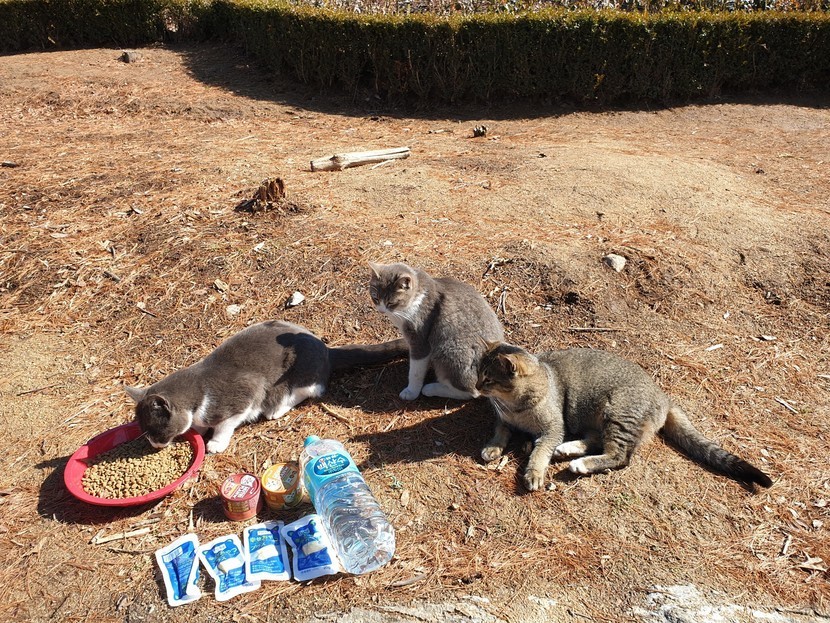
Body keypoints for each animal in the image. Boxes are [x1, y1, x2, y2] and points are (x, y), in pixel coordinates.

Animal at [124, 320, 407, 454]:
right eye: (145, 431)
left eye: (155, 430)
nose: (153, 444)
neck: (198, 392)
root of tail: (326, 349)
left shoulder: (245, 393)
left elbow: (226, 424)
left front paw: (215, 442)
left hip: (299, 373)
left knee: (311, 390)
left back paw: (276, 409)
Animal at [369, 261, 504, 401]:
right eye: (375, 298)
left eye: (391, 302)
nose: (381, 310)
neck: (415, 297)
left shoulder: (420, 340)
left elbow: (416, 371)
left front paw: (411, 392)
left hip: (449, 351)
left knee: (472, 392)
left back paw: (431, 389)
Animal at [476, 341, 773, 491]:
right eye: (478, 373)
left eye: (488, 378)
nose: (476, 386)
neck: (516, 407)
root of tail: (663, 397)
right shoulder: (503, 418)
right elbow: (500, 431)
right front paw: (493, 447)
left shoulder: (553, 429)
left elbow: (540, 452)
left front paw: (534, 473)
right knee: (596, 440)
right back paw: (570, 450)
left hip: (617, 413)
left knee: (620, 456)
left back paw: (580, 463)